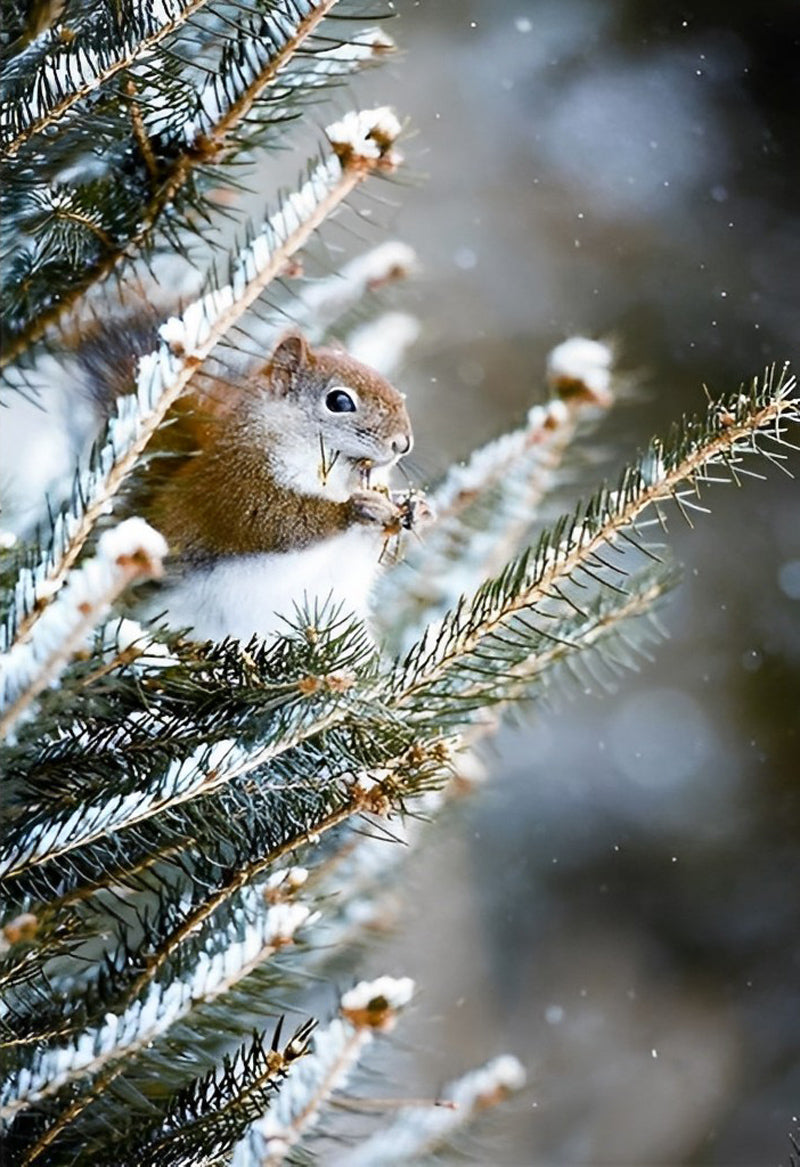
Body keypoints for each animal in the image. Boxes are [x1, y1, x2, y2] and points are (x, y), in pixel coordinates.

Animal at [124, 330, 424, 643]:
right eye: (339, 402)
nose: (403, 444)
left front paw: (417, 509)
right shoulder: (240, 485)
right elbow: (280, 523)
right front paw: (357, 509)